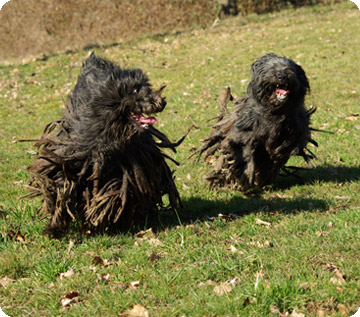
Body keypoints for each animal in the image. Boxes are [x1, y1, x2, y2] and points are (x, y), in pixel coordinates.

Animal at [28, 52, 191, 235]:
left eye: (146, 86)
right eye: (135, 89)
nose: (162, 102)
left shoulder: (126, 164)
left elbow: (116, 188)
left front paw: (102, 211)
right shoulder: (69, 155)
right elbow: (61, 184)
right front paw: (54, 224)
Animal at [191, 53, 318, 190]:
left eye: (289, 69)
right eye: (272, 68)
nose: (282, 76)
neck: (276, 111)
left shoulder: (294, 133)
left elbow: (281, 152)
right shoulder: (245, 133)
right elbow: (244, 153)